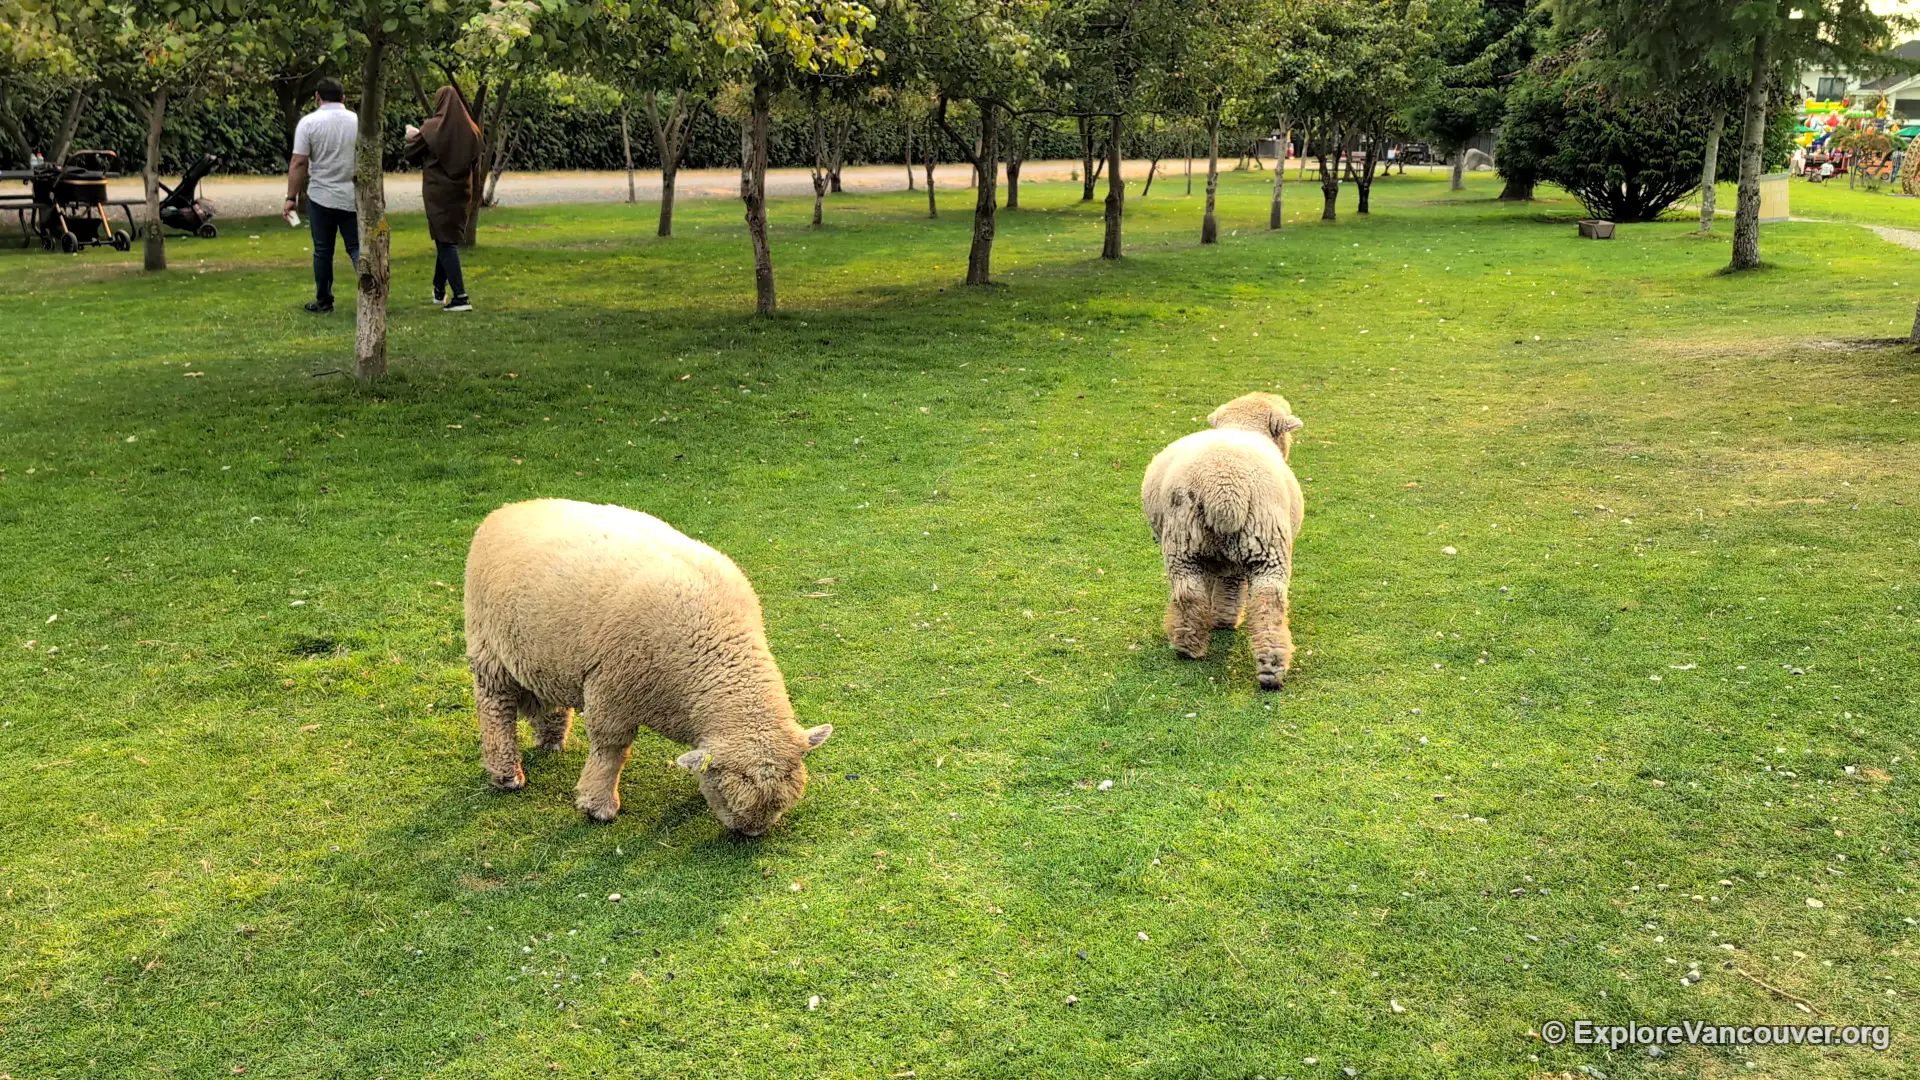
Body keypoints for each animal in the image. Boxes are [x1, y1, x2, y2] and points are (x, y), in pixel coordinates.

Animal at [463, 499, 832, 836]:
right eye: (728, 794)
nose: (751, 833)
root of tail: (510, 507)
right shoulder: (612, 690)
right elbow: (611, 749)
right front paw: (597, 806)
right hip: (487, 647)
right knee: (496, 708)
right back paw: (506, 773)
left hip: (547, 653)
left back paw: (552, 738)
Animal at [1141, 392, 1306, 690]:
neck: (1243, 426)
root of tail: (1226, 489)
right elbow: (1232, 587)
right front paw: (1224, 620)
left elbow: (1225, 588)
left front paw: (1220, 619)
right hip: (1257, 544)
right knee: (1261, 601)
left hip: (1191, 543)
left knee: (1197, 594)